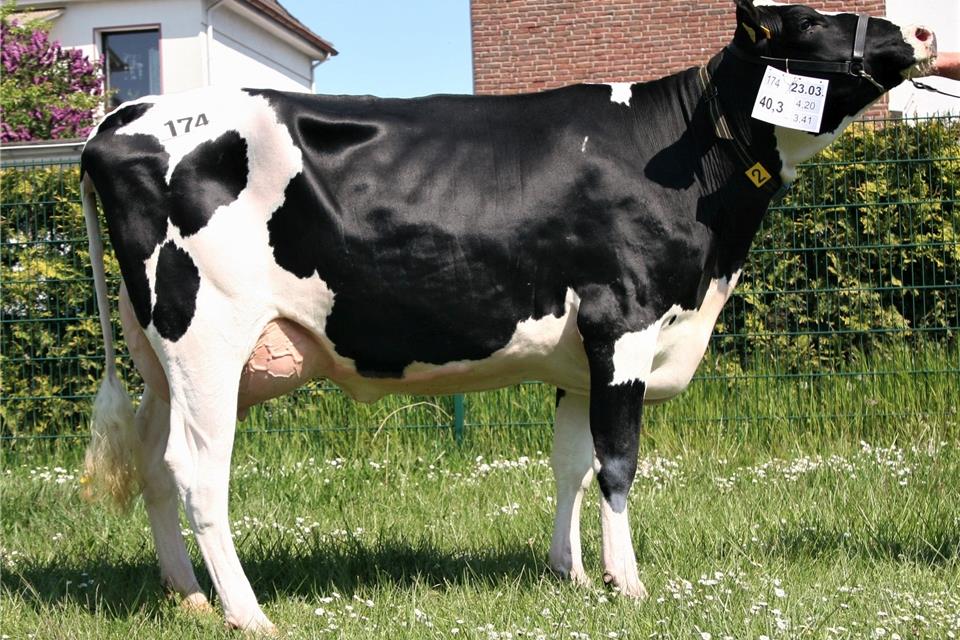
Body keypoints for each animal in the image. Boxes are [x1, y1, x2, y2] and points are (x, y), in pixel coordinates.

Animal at [79, 1, 936, 632]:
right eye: (812, 21)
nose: (924, 31)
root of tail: (125, 117)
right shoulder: (623, 325)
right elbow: (617, 464)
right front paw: (628, 584)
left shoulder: (578, 358)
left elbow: (570, 463)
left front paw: (571, 575)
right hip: (207, 336)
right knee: (198, 470)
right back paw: (248, 614)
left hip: (159, 356)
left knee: (153, 461)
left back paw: (190, 597)